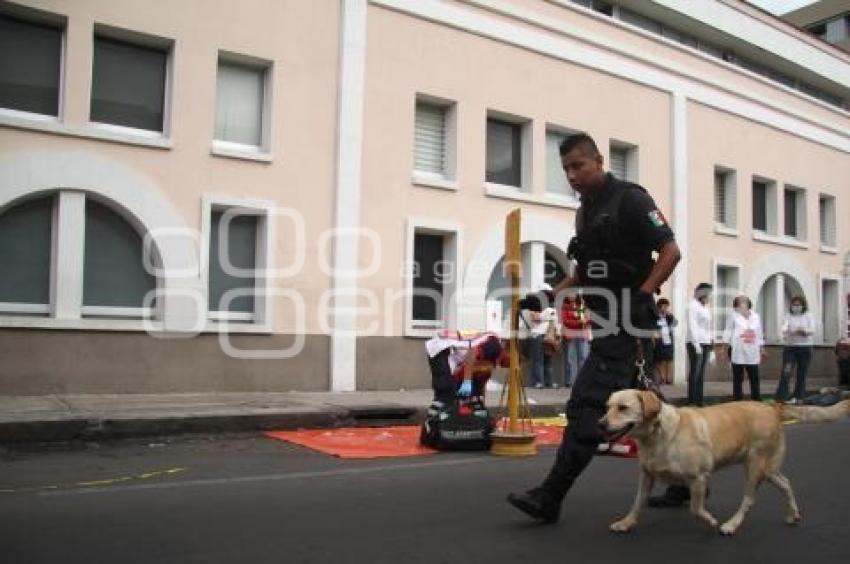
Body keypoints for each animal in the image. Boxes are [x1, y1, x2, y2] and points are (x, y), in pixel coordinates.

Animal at [596, 390, 848, 536]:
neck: (658, 434)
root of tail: (772, 407)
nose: (600, 424)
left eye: (623, 408)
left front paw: (711, 521)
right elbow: (637, 502)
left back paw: (731, 525)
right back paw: (793, 515)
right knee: (786, 483)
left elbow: (696, 508)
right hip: (769, 469)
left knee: (750, 499)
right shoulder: (647, 475)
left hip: (755, 466)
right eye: (607, 407)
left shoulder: (698, 478)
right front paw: (626, 523)